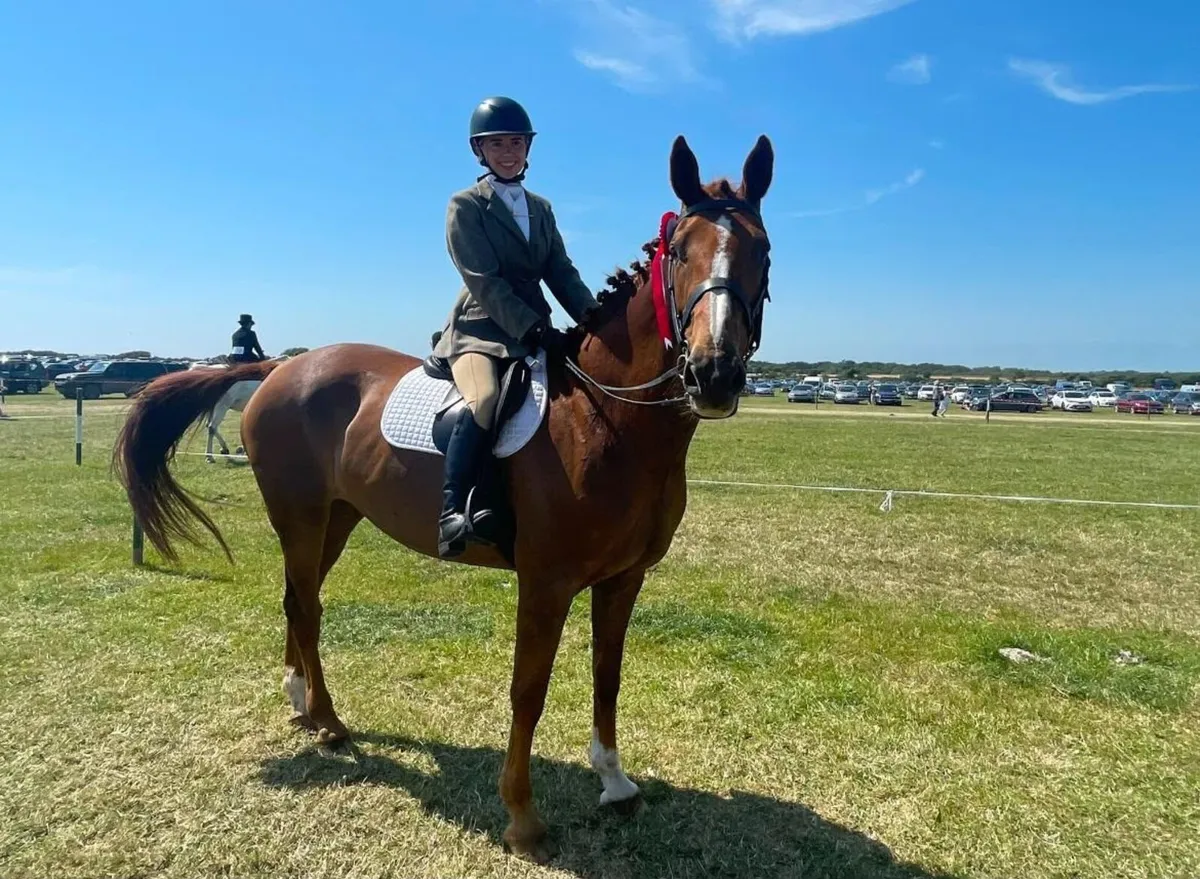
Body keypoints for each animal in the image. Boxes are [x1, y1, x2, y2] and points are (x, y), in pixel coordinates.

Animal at [114, 134, 774, 862]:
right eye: (680, 251)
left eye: (764, 252)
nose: (714, 375)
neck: (607, 420)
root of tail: (282, 367)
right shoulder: (546, 581)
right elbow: (528, 690)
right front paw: (522, 818)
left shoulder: (624, 578)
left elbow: (608, 674)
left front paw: (614, 781)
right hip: (299, 515)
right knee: (304, 605)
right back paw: (329, 721)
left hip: (338, 518)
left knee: (301, 599)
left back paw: (301, 702)